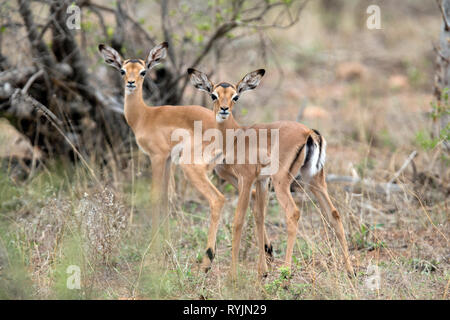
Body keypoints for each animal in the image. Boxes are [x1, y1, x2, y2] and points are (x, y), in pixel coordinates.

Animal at [97, 42, 251, 270]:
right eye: (123, 70)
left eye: (143, 71)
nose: (131, 83)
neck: (144, 116)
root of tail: (233, 129)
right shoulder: (169, 160)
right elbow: (166, 199)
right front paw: (167, 249)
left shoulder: (157, 157)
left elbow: (155, 197)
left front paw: (152, 251)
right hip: (227, 171)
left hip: (195, 170)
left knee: (218, 199)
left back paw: (207, 261)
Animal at [188, 68, 354, 278]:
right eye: (213, 95)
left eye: (235, 96)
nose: (224, 109)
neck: (236, 137)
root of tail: (309, 133)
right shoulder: (261, 181)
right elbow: (260, 217)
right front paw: (263, 271)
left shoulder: (246, 179)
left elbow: (238, 221)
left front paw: (233, 275)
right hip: (314, 181)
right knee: (334, 214)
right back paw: (350, 271)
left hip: (282, 181)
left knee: (293, 213)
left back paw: (286, 271)